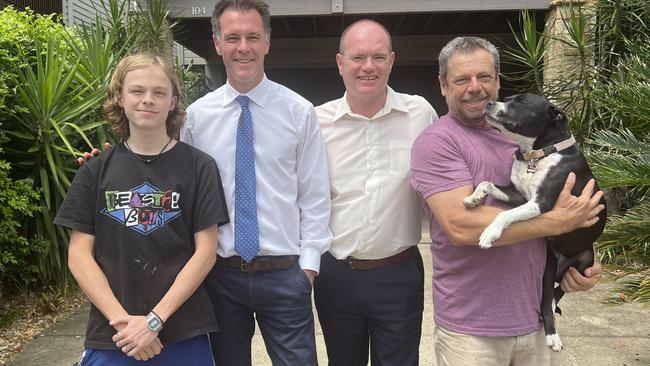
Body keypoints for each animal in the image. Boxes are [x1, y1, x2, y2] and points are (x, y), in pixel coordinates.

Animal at [464, 94, 604, 352]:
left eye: (521, 102)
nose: (489, 103)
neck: (537, 155)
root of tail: (563, 263)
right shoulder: (518, 195)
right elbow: (486, 182)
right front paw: (473, 198)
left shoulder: (540, 203)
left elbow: (504, 215)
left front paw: (489, 233)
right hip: (548, 267)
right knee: (549, 296)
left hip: (585, 261)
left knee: (556, 294)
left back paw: (552, 336)